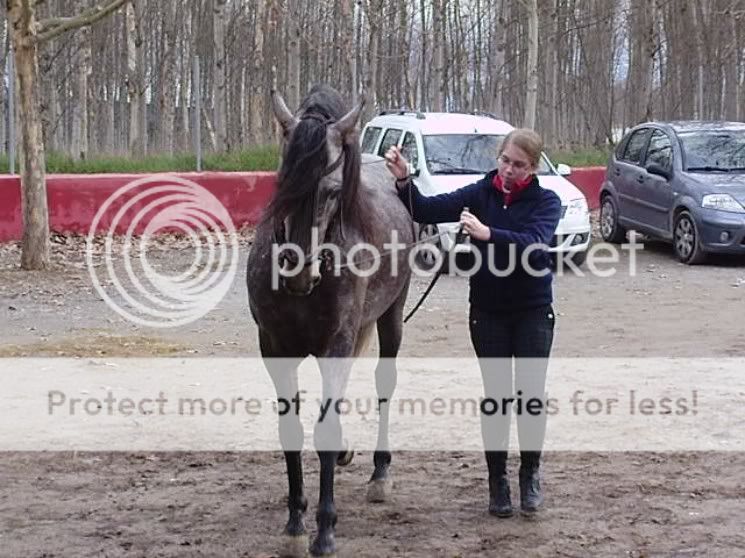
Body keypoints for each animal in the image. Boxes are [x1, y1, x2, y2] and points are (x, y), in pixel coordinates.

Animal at [248, 84, 412, 558]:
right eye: (283, 180)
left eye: (332, 191)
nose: (297, 270)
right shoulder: (274, 348)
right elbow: (291, 430)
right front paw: (294, 524)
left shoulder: (335, 345)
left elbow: (324, 431)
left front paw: (323, 529)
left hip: (391, 317)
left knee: (384, 384)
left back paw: (379, 474)